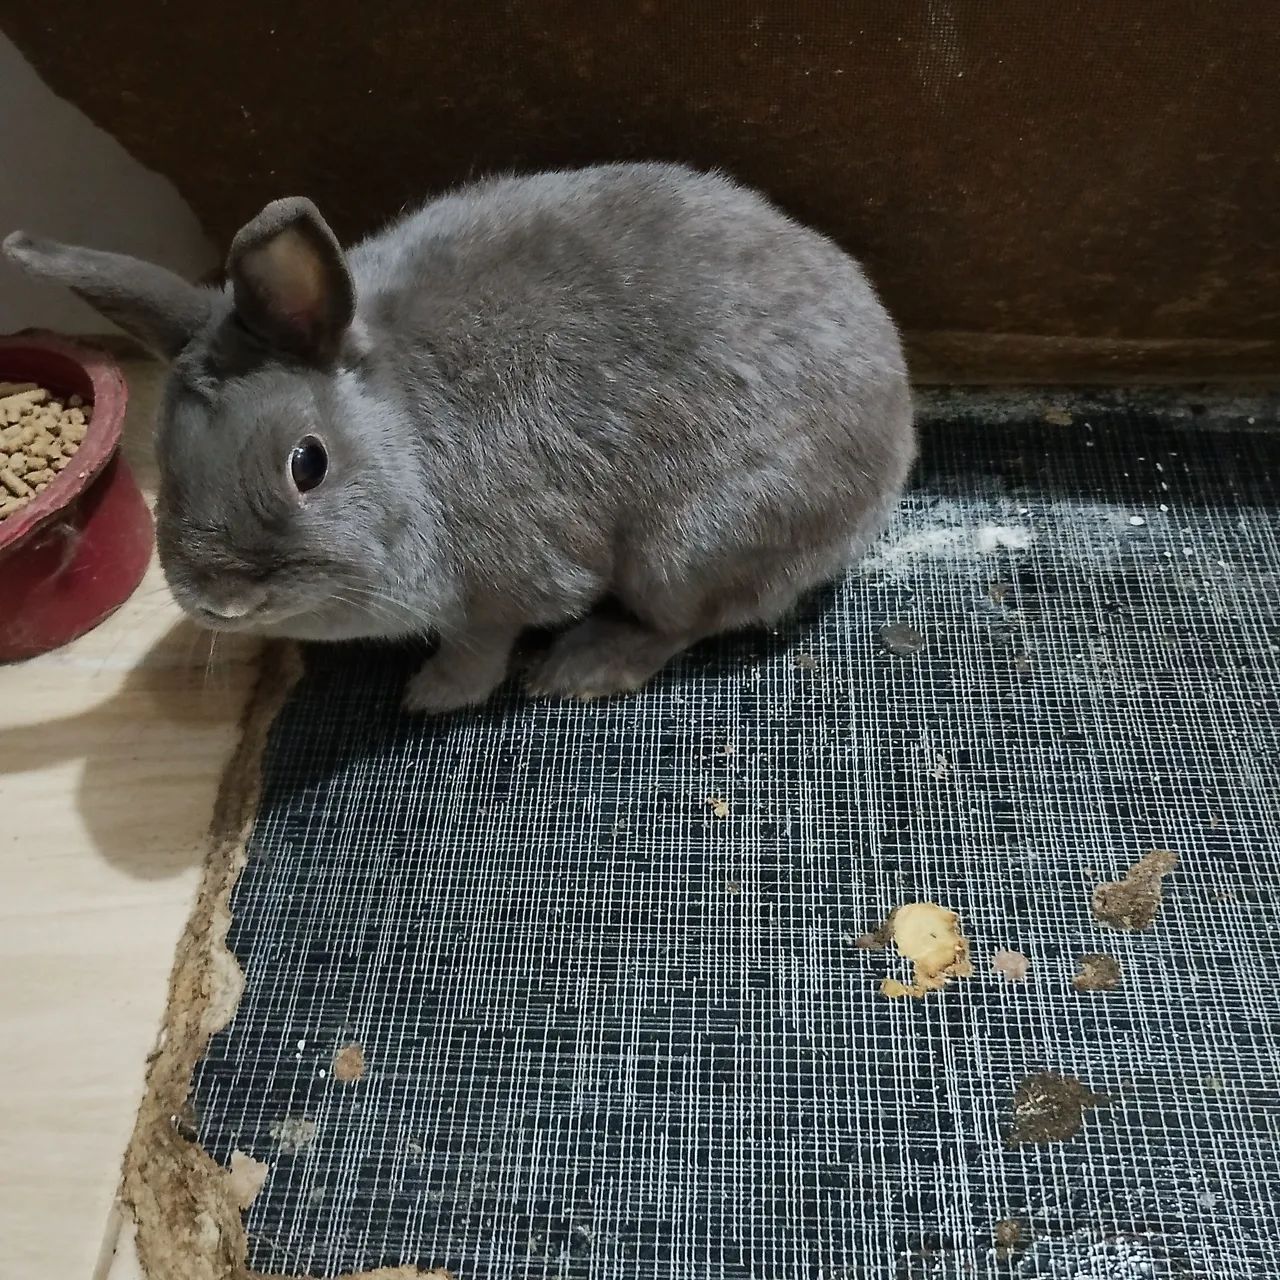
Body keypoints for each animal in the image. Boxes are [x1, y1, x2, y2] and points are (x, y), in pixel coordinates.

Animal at [3, 162, 914, 713]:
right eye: (165, 458)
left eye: (308, 463)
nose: (223, 600)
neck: (406, 438)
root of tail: (896, 439)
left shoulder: (504, 584)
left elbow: (482, 642)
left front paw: (434, 694)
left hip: (687, 547)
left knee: (686, 621)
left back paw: (580, 670)